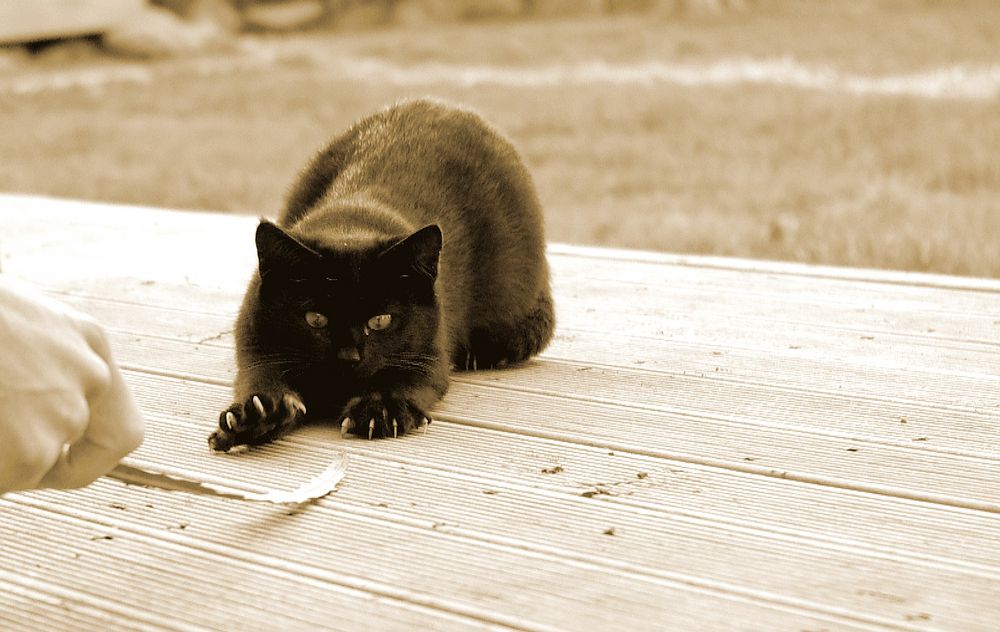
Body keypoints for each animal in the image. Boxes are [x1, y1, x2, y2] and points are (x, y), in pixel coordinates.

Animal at [210, 99, 556, 452]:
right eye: (315, 319)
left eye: (381, 320)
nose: (348, 357)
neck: (351, 226)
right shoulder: (254, 338)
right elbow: (260, 375)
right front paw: (258, 416)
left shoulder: (430, 353)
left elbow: (405, 378)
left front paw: (381, 409)